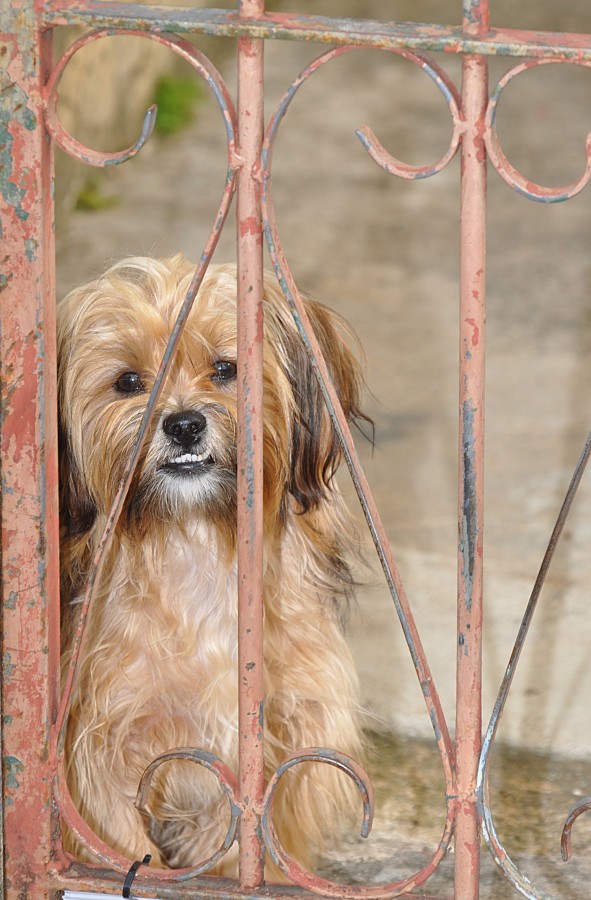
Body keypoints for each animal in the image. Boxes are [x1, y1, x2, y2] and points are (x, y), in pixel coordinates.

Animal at [57, 255, 368, 880]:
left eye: (226, 369)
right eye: (129, 382)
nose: (183, 425)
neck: (196, 539)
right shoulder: (99, 751)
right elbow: (119, 843)